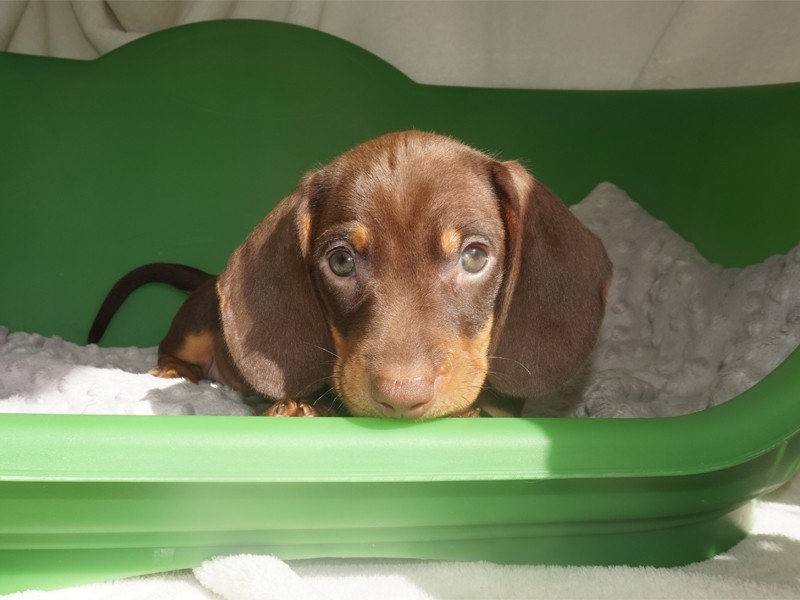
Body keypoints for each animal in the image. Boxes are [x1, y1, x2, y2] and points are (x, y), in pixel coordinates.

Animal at [89, 131, 612, 419]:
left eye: (475, 257)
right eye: (341, 262)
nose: (401, 397)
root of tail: (208, 280)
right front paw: (296, 407)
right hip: (196, 324)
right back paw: (174, 370)